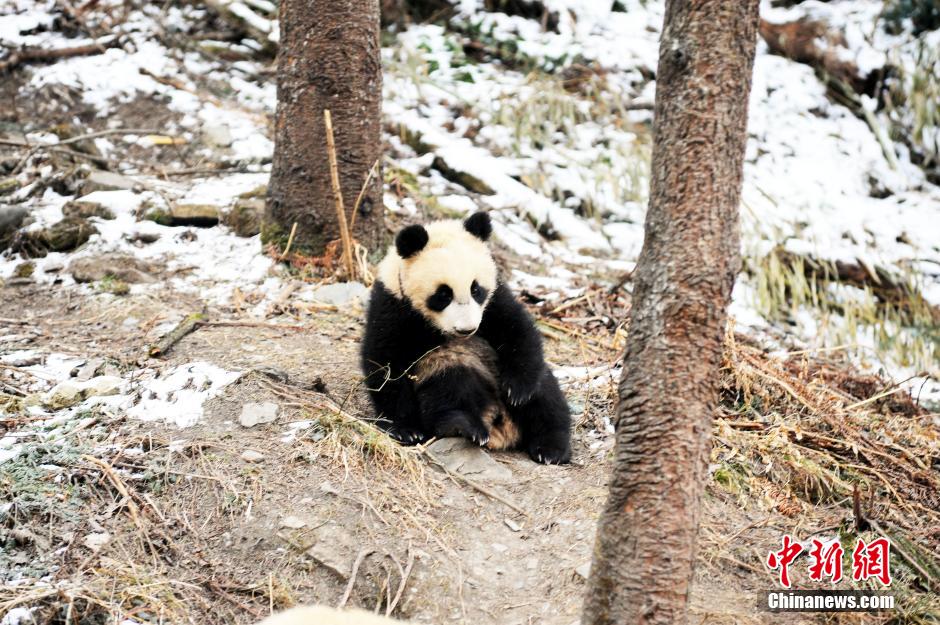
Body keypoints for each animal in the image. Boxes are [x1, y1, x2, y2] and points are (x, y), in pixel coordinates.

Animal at [361, 211, 571, 464]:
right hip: (443, 368)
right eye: (443, 294)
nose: (466, 329)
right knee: (450, 391)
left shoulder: (495, 299)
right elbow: (385, 364)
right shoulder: (392, 305)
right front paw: (406, 430)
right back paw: (465, 425)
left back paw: (550, 448)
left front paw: (517, 390)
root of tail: (499, 424)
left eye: (476, 289)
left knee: (547, 399)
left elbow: (517, 330)